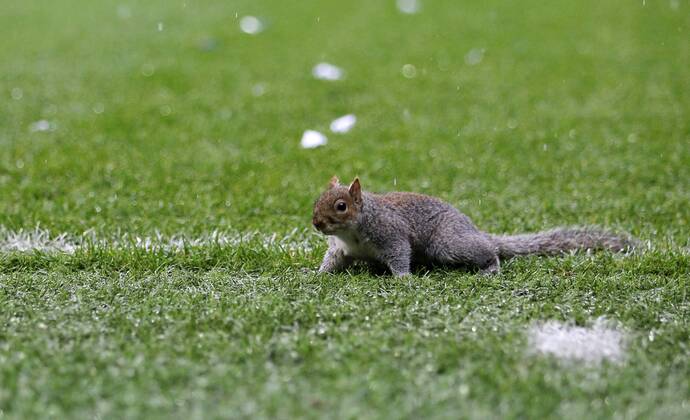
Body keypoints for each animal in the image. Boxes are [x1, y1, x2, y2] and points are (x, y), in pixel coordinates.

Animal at [311, 176, 637, 276]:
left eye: (341, 206)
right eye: (317, 199)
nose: (316, 223)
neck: (351, 233)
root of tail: (475, 230)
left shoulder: (391, 235)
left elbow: (400, 254)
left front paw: (404, 278)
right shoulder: (339, 249)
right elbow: (331, 261)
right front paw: (318, 274)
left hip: (446, 244)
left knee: (489, 251)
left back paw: (490, 267)